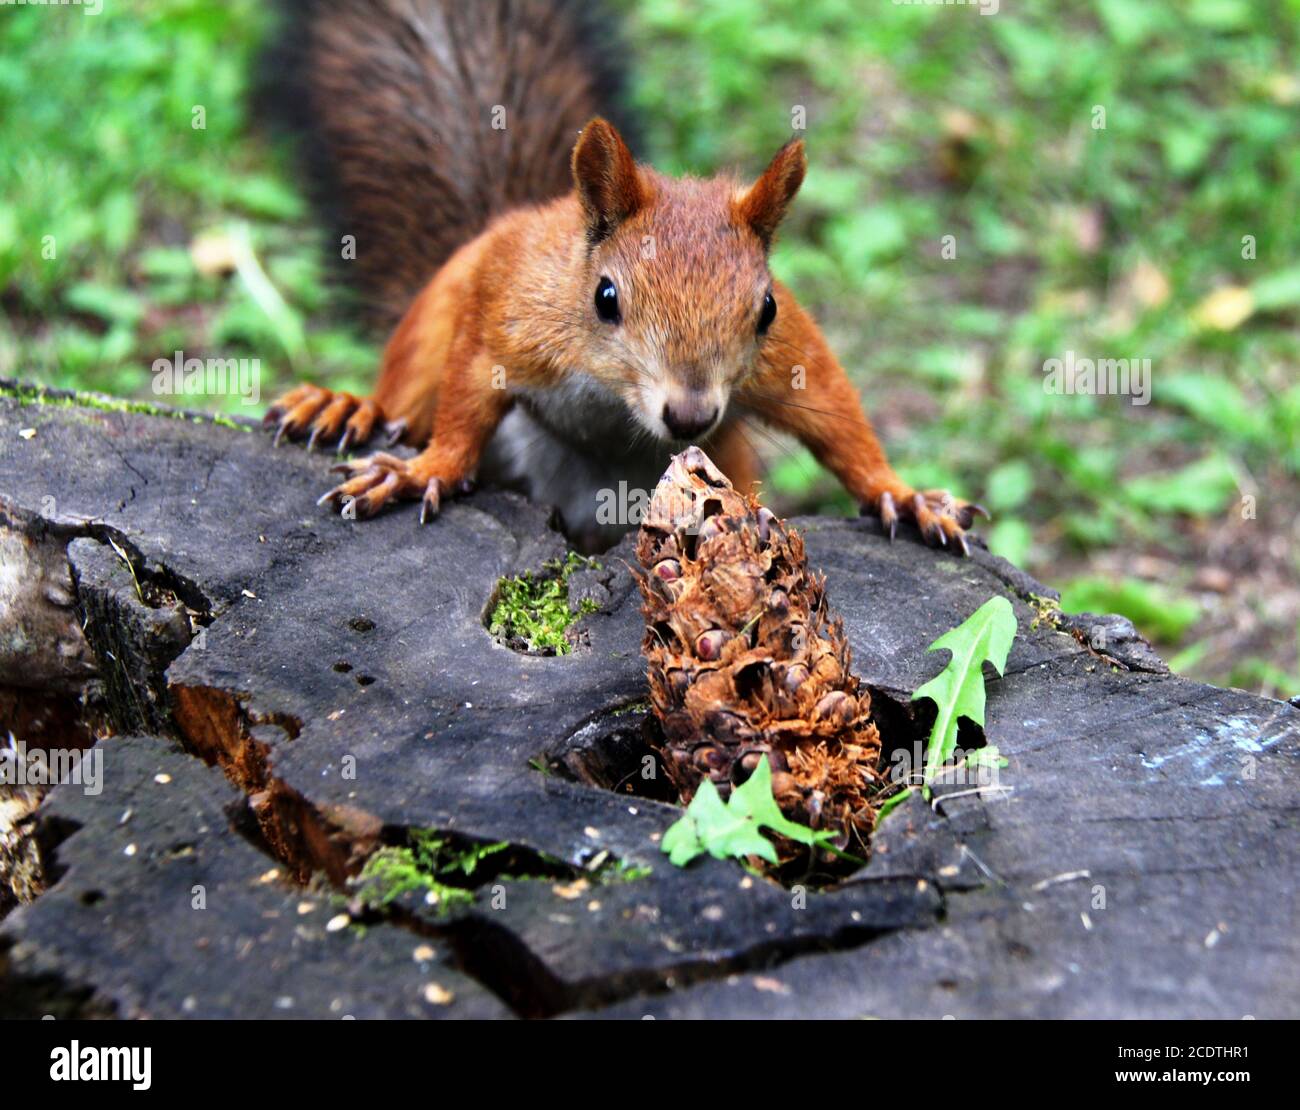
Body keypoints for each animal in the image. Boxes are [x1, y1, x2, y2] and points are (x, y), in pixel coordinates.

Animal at [261, 0, 982, 556]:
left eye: (768, 309)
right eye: (605, 298)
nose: (691, 415)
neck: (615, 401)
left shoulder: (787, 356)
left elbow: (837, 413)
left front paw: (904, 495)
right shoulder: (512, 318)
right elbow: (465, 399)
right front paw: (422, 471)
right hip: (442, 299)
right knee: (409, 390)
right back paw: (347, 407)